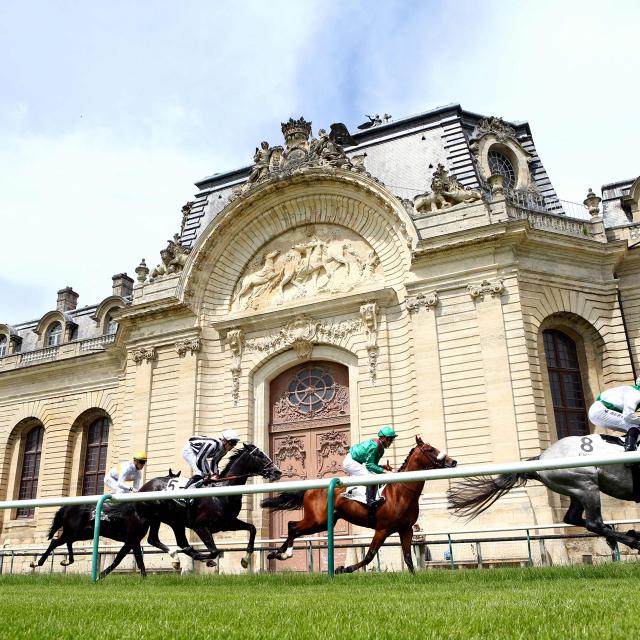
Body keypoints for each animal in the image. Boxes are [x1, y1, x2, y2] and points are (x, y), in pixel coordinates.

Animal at [139, 444, 282, 568]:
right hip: (160, 518)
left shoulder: (227, 523)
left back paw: (177, 558)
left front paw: (245, 559)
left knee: (160, 540)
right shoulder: (200, 526)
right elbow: (214, 551)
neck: (223, 492)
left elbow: (252, 528)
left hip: (173, 521)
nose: (277, 471)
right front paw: (207, 560)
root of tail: (144, 487)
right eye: (260, 455)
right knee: (167, 541)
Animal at [260, 438, 456, 572]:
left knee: (293, 527)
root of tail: (309, 490)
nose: (453, 462)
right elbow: (369, 556)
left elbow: (408, 558)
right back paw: (284, 553)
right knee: (293, 526)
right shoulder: (383, 529)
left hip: (323, 522)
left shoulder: (406, 529)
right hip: (317, 520)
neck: (401, 492)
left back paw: (277, 553)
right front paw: (343, 569)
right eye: (430, 449)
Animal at [448, 432, 640, 552]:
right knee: (594, 523)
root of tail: (541, 457)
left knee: (573, 518)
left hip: (577, 489)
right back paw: (634, 540)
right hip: (586, 484)